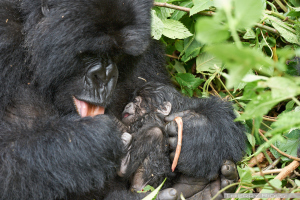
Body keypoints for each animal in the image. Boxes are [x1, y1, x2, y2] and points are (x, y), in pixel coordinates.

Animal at [0, 0, 244, 199]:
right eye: (90, 53)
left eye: (118, 55)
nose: (104, 77)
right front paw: (88, 142)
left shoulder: (147, 44)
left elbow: (168, 95)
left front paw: (200, 132)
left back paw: (199, 189)